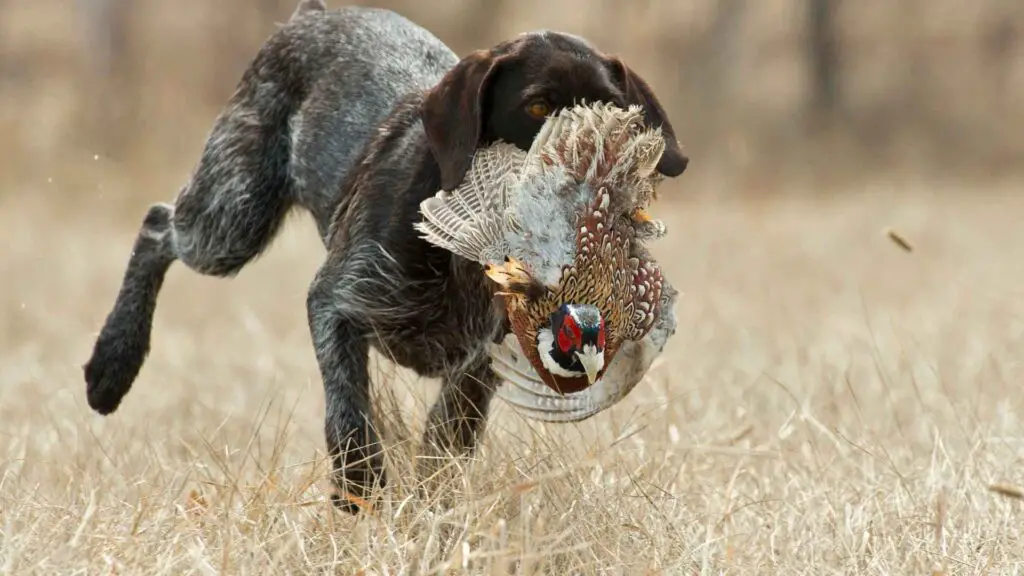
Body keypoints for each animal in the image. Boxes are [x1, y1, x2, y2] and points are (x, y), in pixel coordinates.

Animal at [81, 0, 688, 510]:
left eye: (611, 111)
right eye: (537, 106)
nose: (597, 173)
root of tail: (316, 13)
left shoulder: (483, 360)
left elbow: (447, 441)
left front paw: (429, 511)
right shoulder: (336, 303)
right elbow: (349, 412)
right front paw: (359, 490)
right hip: (233, 216)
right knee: (157, 226)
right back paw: (113, 364)